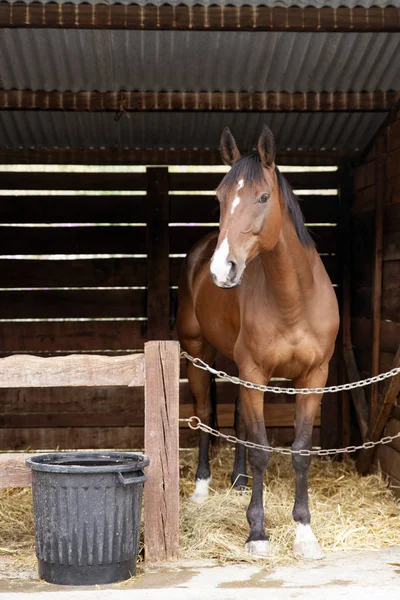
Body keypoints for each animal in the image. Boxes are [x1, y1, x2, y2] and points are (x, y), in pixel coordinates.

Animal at [177, 125, 340, 556]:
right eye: (219, 197)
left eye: (264, 197)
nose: (222, 269)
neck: (293, 299)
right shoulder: (255, 373)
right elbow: (263, 450)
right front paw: (258, 533)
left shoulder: (313, 377)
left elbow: (300, 451)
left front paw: (304, 532)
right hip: (197, 354)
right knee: (204, 413)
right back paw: (202, 488)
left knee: (237, 419)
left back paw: (237, 481)